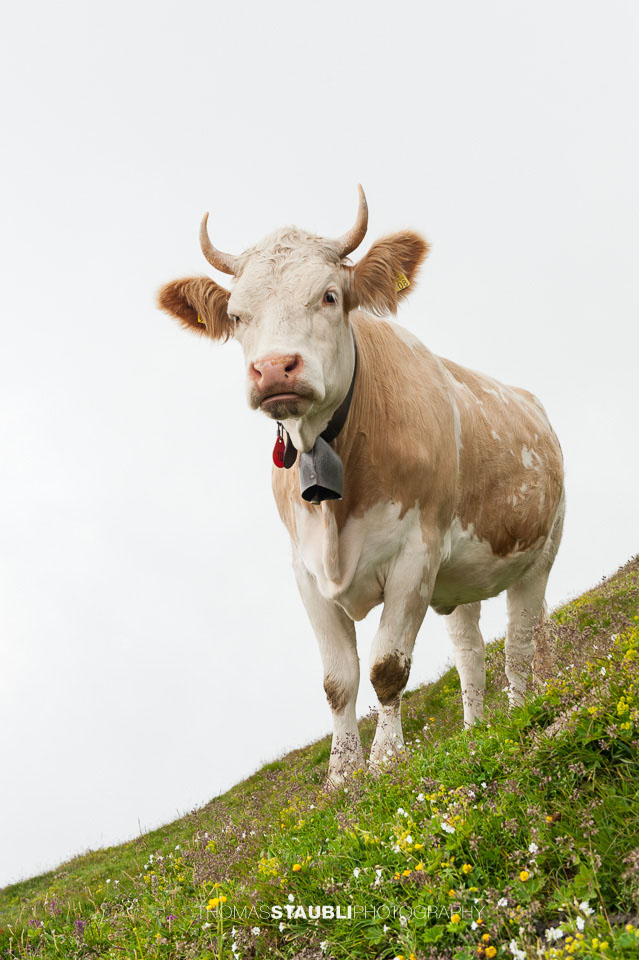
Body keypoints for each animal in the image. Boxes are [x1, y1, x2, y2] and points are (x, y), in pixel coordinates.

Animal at [158, 187, 565, 786]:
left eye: (329, 296)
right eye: (236, 315)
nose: (274, 369)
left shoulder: (417, 554)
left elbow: (386, 668)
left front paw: (388, 760)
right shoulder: (305, 571)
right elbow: (337, 681)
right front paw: (342, 776)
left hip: (540, 554)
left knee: (519, 640)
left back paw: (521, 712)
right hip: (461, 580)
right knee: (470, 650)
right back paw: (476, 732)